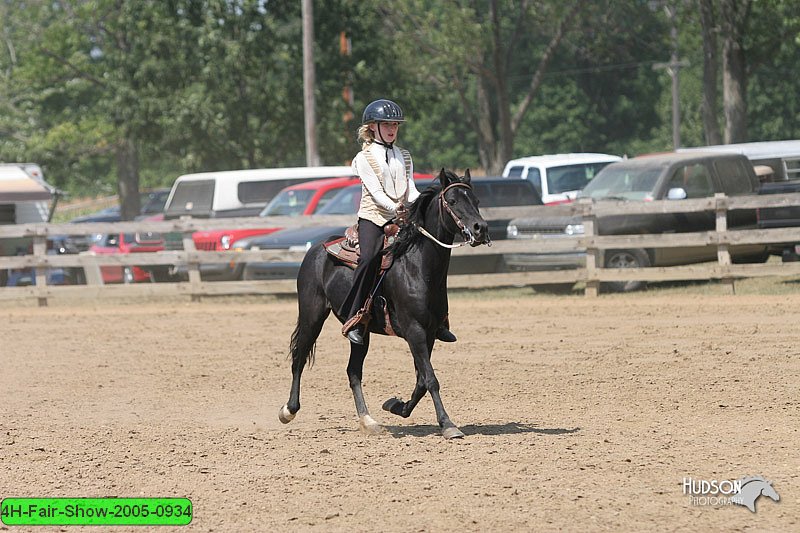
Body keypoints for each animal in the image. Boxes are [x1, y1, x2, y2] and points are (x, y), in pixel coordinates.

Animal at [282, 168, 494, 438]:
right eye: (453, 201)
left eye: (476, 201)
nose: (480, 229)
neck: (417, 266)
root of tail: (316, 249)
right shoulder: (414, 331)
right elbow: (431, 379)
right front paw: (448, 424)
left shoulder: (430, 334)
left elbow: (421, 381)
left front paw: (396, 406)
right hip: (312, 315)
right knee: (299, 357)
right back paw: (289, 410)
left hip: (361, 334)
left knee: (353, 371)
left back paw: (368, 421)